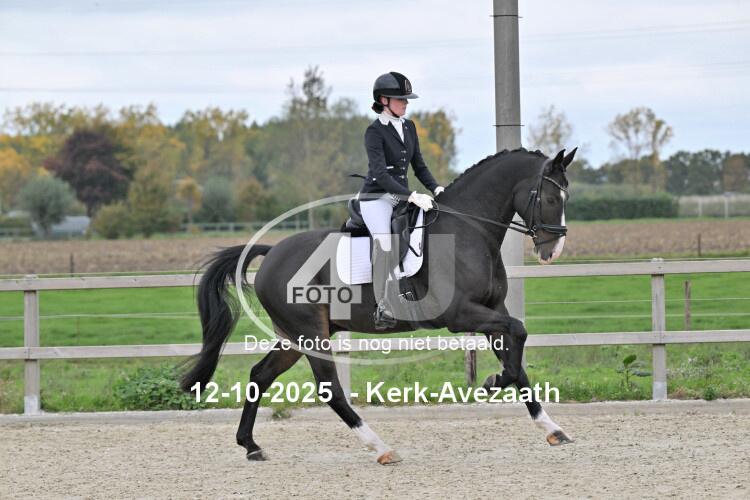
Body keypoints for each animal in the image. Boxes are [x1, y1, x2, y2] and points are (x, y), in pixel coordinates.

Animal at [180, 147, 577, 465]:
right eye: (550, 198)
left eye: (566, 198)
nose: (552, 250)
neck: (470, 231)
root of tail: (272, 251)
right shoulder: (461, 314)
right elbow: (518, 335)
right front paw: (493, 383)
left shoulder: (493, 311)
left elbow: (518, 358)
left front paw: (551, 427)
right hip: (310, 334)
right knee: (329, 389)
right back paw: (382, 448)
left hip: (293, 338)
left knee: (260, 375)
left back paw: (251, 446)